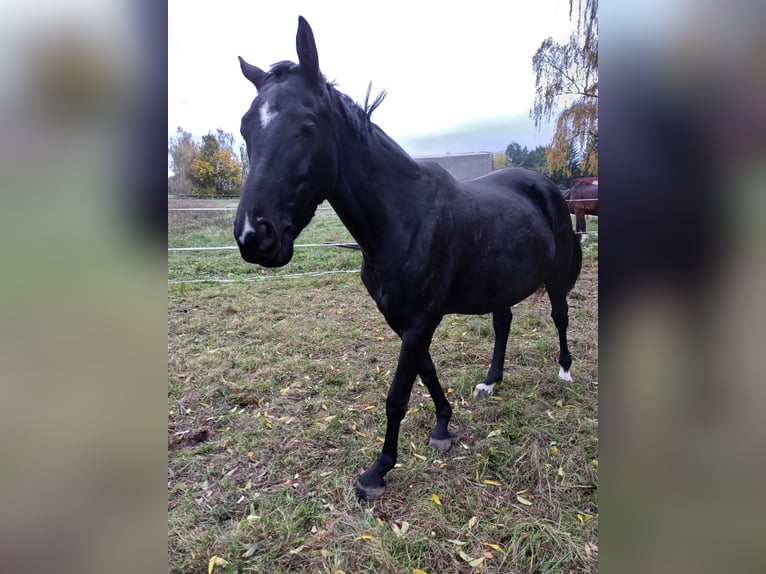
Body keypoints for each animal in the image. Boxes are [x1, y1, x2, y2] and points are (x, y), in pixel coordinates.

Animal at [234, 18, 584, 502]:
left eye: (306, 125)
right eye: (246, 127)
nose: (254, 236)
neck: (403, 217)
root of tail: (550, 188)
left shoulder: (421, 319)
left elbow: (398, 394)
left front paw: (378, 470)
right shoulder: (401, 319)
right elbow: (427, 371)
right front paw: (442, 426)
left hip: (554, 279)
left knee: (560, 316)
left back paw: (565, 373)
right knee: (503, 324)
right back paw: (491, 381)